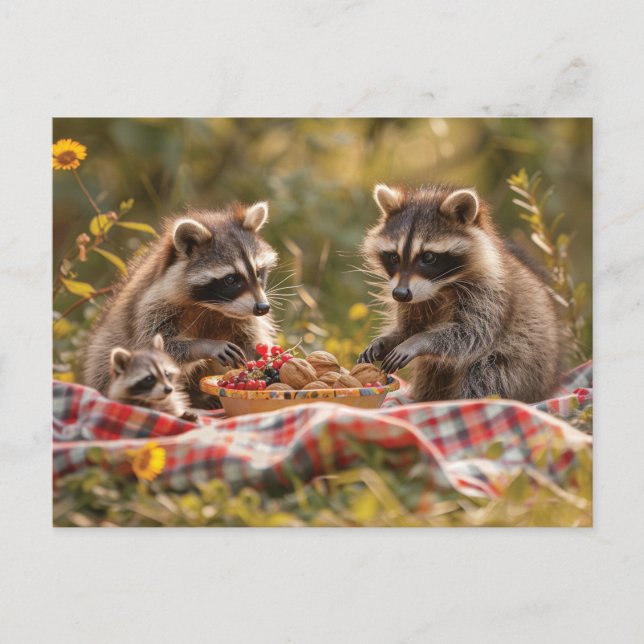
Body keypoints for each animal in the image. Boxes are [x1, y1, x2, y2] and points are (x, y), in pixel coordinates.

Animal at [84, 201, 278, 407]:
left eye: (258, 272)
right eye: (230, 279)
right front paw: (204, 345)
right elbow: (156, 345)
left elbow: (251, 339)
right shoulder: (152, 306)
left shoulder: (243, 316)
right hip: (105, 351)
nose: (263, 308)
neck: (210, 307)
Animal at [358, 183, 563, 403]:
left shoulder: (491, 293)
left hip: (524, 363)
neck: (440, 288)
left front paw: (419, 341)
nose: (400, 294)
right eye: (394, 257)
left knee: (487, 373)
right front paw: (387, 341)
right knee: (431, 369)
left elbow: (471, 334)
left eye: (428, 257)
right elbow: (409, 328)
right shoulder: (414, 299)